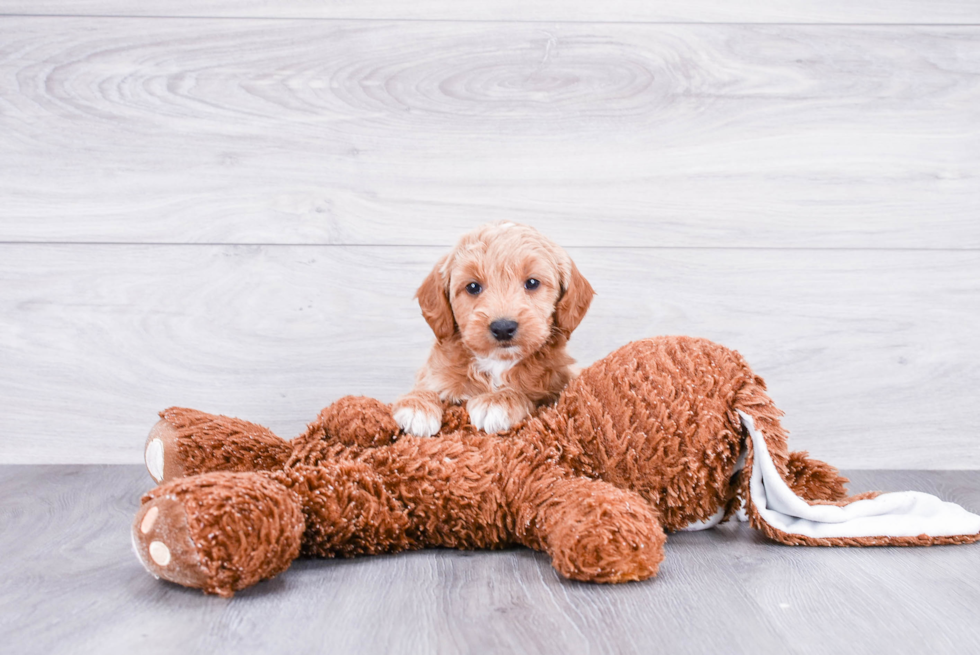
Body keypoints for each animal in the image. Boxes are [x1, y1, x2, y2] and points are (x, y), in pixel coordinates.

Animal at [392, 223, 592, 438]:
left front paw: (497, 402)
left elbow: (526, 395)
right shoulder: (435, 374)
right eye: (472, 287)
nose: (503, 328)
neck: (497, 362)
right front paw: (416, 405)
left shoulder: (554, 389)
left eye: (532, 283)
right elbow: (427, 386)